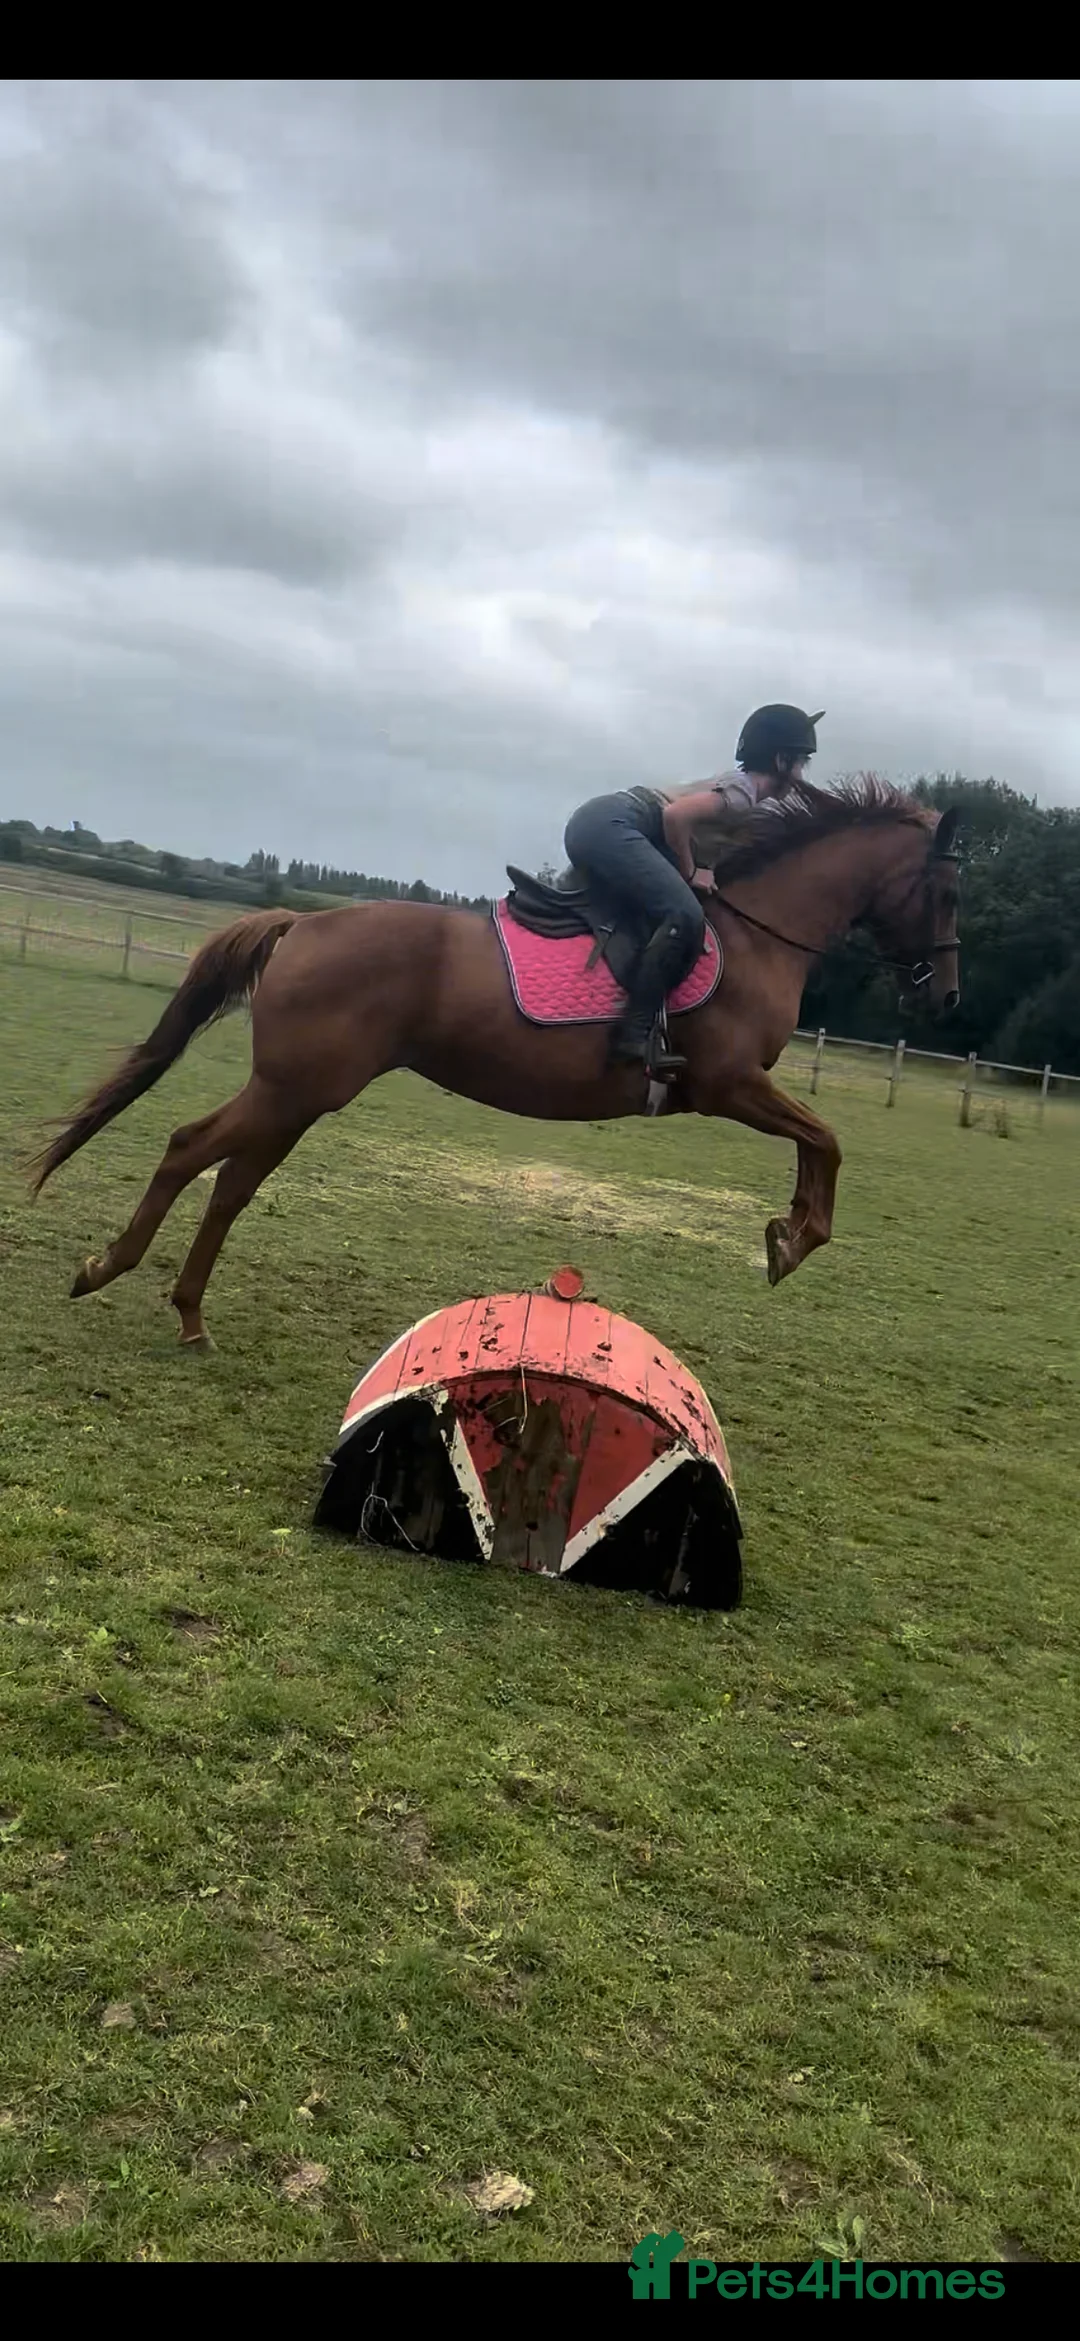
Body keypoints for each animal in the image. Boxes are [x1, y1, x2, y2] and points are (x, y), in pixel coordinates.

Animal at [30, 778, 961, 1349]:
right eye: (948, 893)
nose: (947, 994)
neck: (759, 933)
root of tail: (305, 923)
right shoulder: (728, 1083)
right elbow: (827, 1137)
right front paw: (793, 1239)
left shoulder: (738, 1089)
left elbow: (819, 1141)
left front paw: (787, 1230)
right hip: (294, 1088)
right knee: (191, 1148)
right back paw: (103, 1269)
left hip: (300, 1094)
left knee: (231, 1181)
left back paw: (190, 1316)